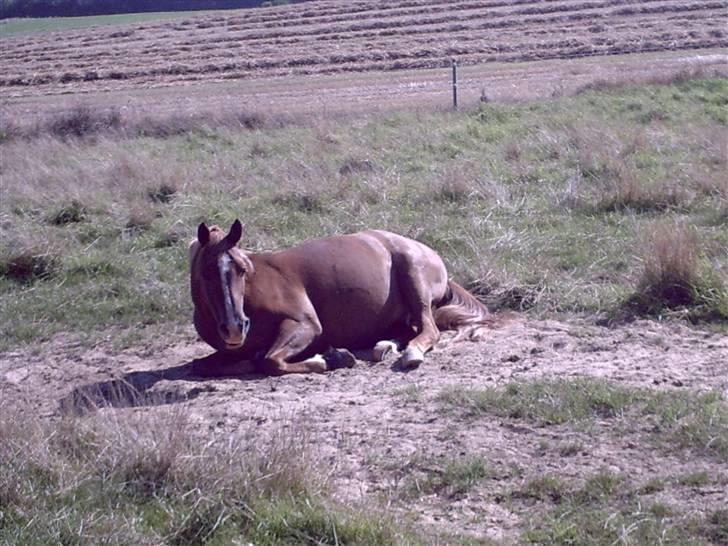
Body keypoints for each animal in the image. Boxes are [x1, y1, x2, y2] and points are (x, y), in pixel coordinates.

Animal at [191, 218, 492, 374]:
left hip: (414, 280)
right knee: (407, 330)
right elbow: (201, 365)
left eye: (242, 270)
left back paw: (409, 353)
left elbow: (271, 360)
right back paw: (382, 347)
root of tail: (425, 249)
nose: (234, 328)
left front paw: (330, 359)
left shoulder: (305, 324)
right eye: (206, 272)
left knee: (428, 330)